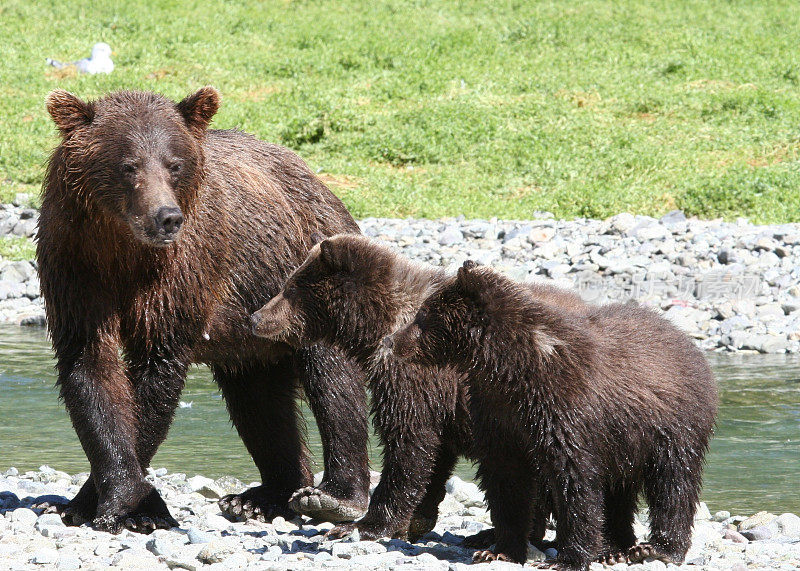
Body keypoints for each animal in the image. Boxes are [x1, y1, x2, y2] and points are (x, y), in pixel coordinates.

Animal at [38, 87, 372, 536]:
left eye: (174, 164)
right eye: (128, 166)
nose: (166, 217)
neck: (122, 249)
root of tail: (316, 179)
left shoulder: (179, 275)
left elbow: (154, 378)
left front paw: (127, 507)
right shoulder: (75, 268)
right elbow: (91, 371)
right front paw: (90, 503)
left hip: (303, 273)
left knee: (333, 380)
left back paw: (335, 496)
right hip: (249, 333)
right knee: (259, 403)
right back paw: (263, 497)